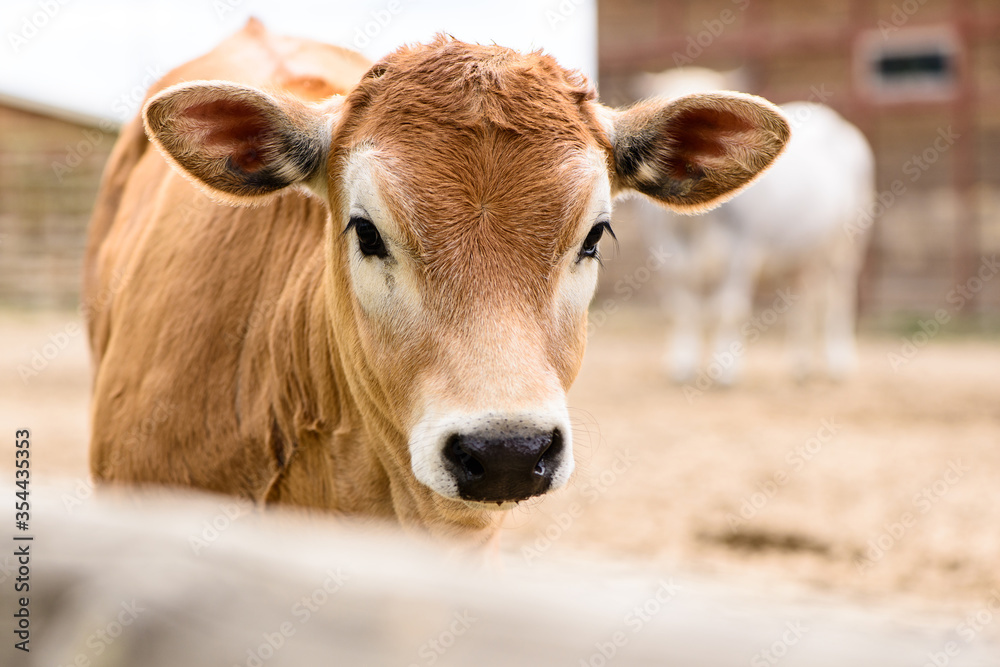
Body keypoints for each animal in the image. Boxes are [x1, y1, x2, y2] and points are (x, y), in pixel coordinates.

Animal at [636, 68, 872, 386]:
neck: (697, 225)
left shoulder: (742, 252)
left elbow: (728, 309)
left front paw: (724, 371)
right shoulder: (669, 255)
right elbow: (684, 309)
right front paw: (682, 365)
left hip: (849, 245)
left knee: (839, 297)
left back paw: (839, 363)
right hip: (802, 253)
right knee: (804, 299)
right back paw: (800, 364)